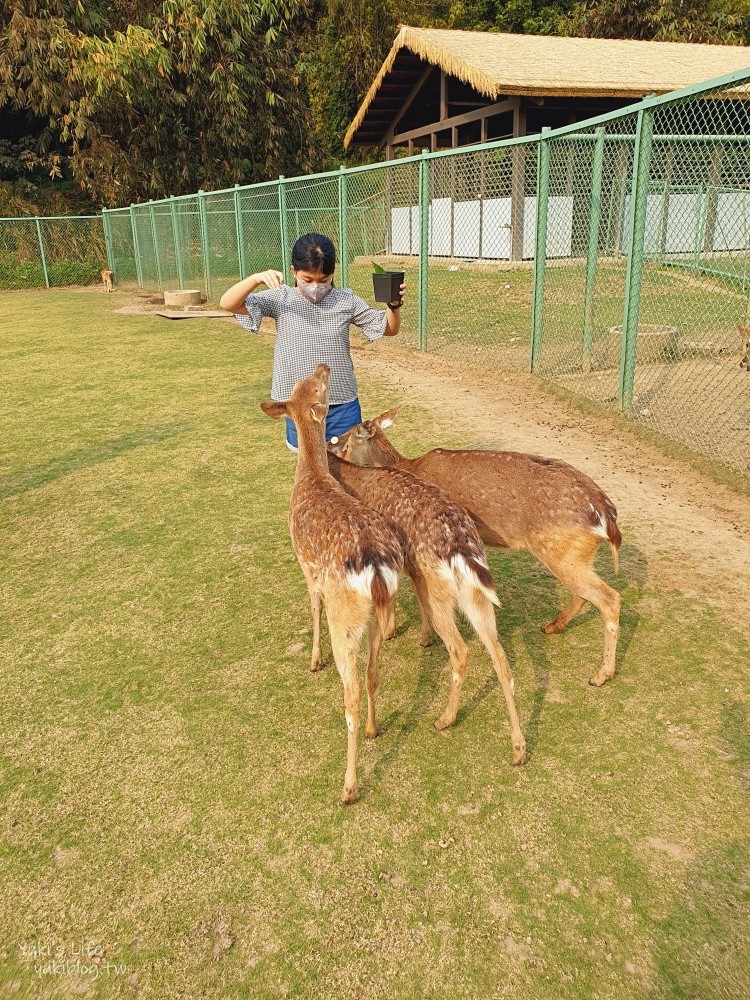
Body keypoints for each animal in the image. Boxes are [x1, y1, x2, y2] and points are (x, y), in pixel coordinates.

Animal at [262, 368, 406, 804]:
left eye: (314, 385)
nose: (324, 366)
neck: (311, 477)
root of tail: (375, 569)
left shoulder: (307, 567)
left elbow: (313, 606)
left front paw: (312, 660)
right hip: (375, 619)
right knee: (374, 673)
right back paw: (376, 729)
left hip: (346, 621)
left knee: (352, 694)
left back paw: (349, 786)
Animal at [328, 454, 528, 764]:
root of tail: (462, 551)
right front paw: (422, 638)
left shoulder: (405, 565)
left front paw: (397, 632)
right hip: (478, 597)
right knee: (500, 656)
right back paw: (518, 748)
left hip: (442, 594)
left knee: (460, 648)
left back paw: (445, 719)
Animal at [334, 406, 624, 688]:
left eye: (345, 442)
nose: (331, 446)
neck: (406, 466)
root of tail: (607, 516)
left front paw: (422, 638)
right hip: (574, 555)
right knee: (584, 594)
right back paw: (552, 627)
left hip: (561, 551)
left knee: (609, 598)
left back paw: (601, 675)